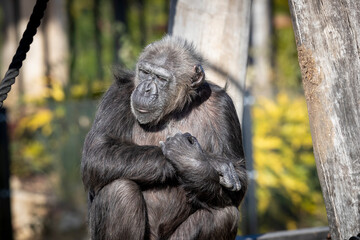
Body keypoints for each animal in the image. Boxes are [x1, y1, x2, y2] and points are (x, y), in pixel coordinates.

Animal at [81, 35, 248, 240]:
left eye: (161, 78)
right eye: (145, 72)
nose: (145, 89)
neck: (174, 110)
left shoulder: (224, 107)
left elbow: (239, 180)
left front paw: (191, 162)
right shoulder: (117, 95)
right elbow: (98, 152)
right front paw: (209, 160)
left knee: (224, 214)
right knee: (119, 191)